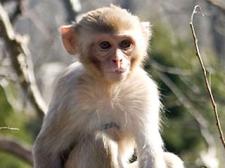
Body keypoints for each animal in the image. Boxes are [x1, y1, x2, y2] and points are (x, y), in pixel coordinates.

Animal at [33, 4, 185, 167]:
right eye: (104, 45)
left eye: (125, 44)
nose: (117, 60)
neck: (110, 88)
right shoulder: (68, 90)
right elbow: (47, 150)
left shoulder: (144, 90)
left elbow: (150, 152)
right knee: (99, 142)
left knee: (171, 159)